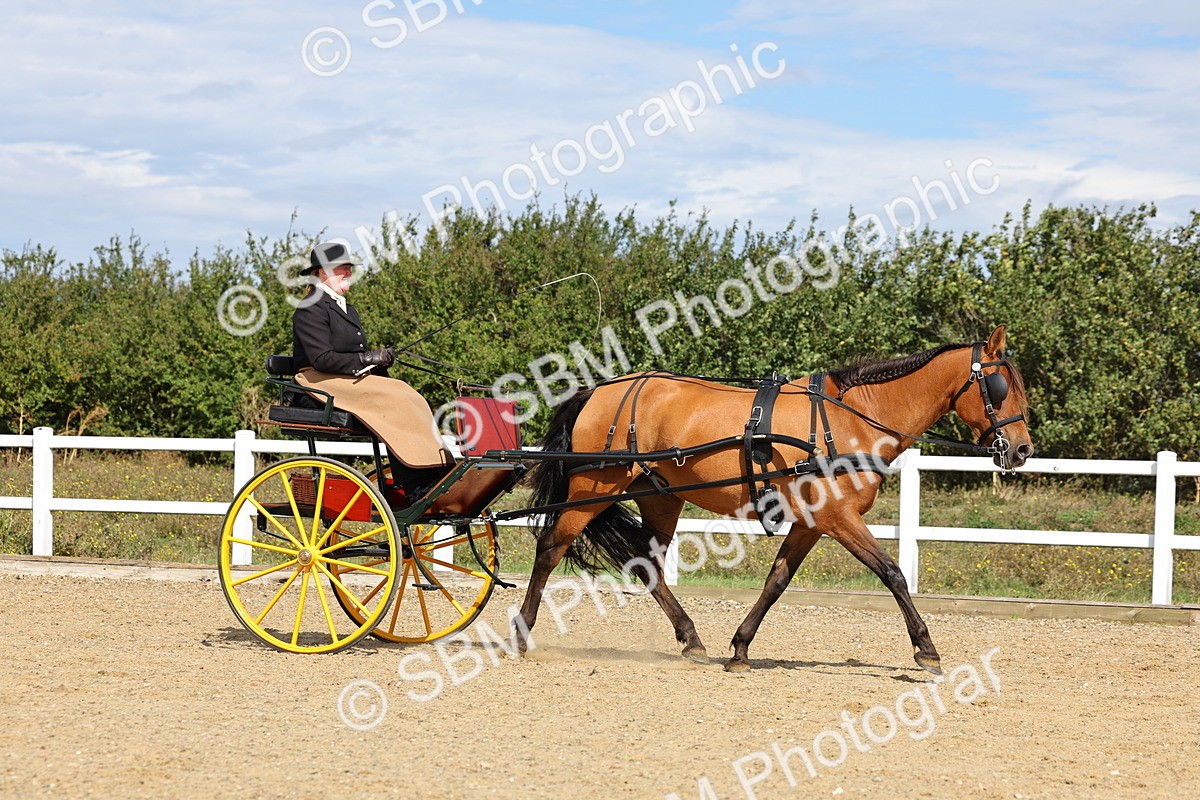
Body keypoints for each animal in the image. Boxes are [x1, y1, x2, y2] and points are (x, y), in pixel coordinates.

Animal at [512, 326, 1033, 674]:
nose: (1022, 449)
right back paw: (522, 630)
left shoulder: (811, 523)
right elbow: (893, 573)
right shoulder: (838, 517)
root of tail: (596, 391)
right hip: (591, 490)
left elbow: (776, 581)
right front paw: (926, 649)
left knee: (647, 564)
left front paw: (740, 649)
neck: (851, 420)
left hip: (660, 497)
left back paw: (691, 639)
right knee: (551, 549)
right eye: (1001, 385)